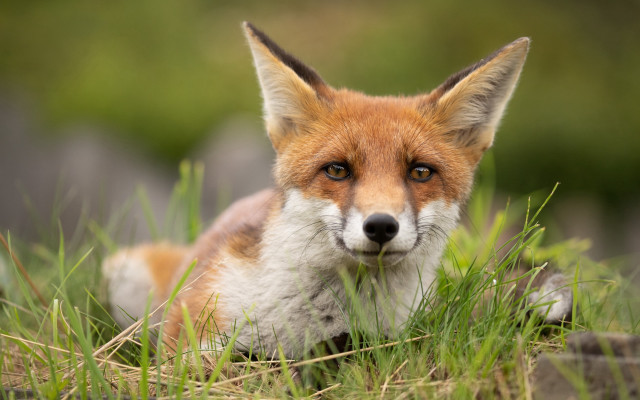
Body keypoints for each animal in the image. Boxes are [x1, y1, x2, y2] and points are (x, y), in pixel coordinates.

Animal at [103, 22, 572, 358]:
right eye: (337, 170)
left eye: (420, 172)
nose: (380, 226)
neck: (322, 317)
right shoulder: (196, 339)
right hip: (124, 274)